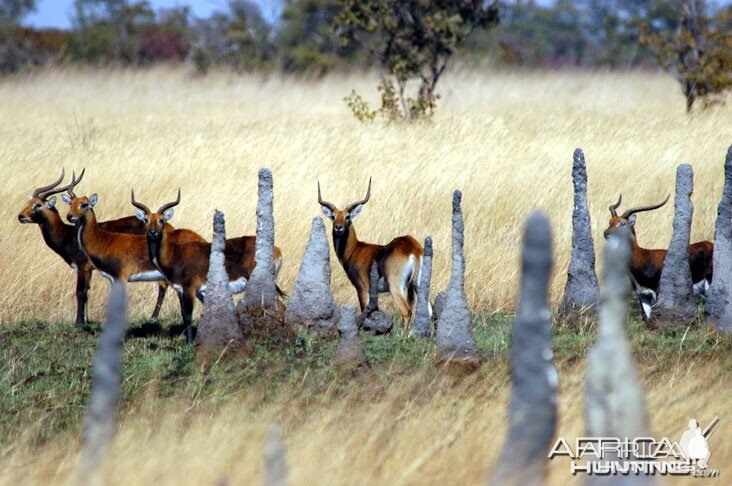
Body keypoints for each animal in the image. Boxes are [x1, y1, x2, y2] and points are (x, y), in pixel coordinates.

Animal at [18, 169, 170, 324]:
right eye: (28, 202)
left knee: (163, 284)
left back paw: (153, 317)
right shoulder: (90, 269)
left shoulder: (82, 267)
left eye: (38, 205)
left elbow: (80, 292)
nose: (21, 216)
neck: (68, 235)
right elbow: (87, 292)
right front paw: (86, 320)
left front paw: (79, 321)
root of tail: (167, 225)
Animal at [131, 190, 284, 342]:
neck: (175, 254)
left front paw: (190, 343)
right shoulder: (181, 290)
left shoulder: (190, 289)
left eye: (161, 220)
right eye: (146, 220)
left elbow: (188, 316)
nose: (153, 233)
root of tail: (277, 251)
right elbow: (186, 314)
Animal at [318, 178, 426, 322]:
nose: (339, 227)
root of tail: (413, 248)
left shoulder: (362, 289)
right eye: (333, 216)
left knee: (407, 312)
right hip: (418, 284)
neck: (355, 250)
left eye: (348, 216)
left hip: (396, 288)